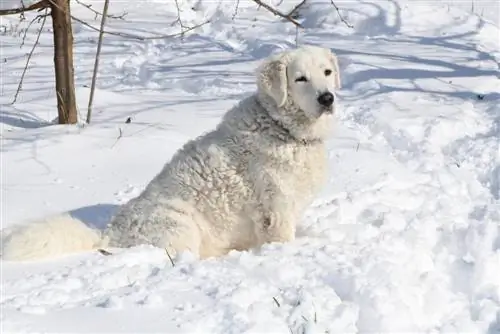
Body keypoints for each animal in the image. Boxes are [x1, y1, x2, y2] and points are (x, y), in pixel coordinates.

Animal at [0, 44, 340, 260]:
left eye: (326, 72)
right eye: (300, 79)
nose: (327, 98)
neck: (282, 128)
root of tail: (110, 235)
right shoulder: (276, 210)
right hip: (182, 226)